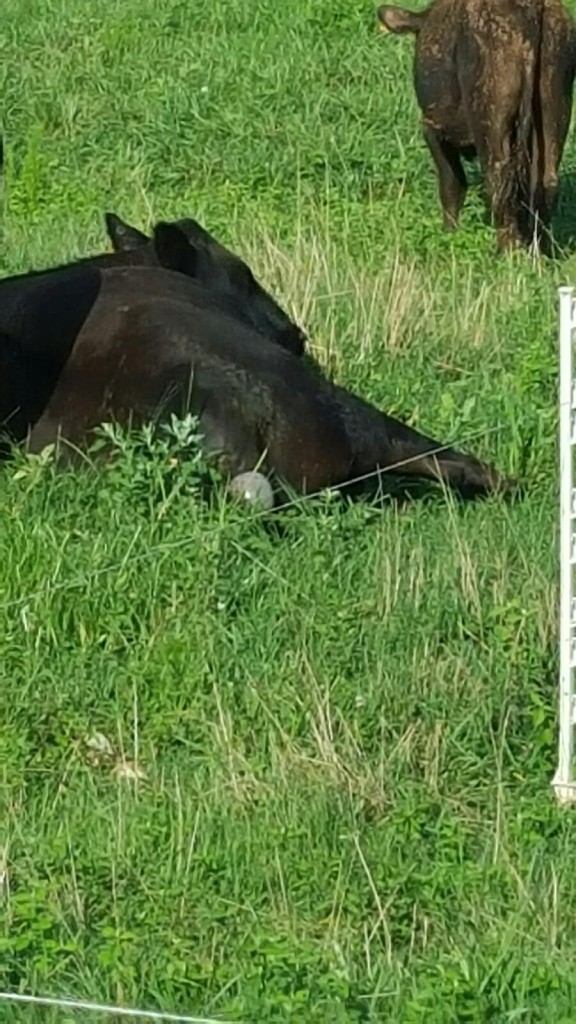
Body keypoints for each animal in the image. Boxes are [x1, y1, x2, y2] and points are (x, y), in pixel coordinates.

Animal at [377, 0, 573, 251]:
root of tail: (530, 10)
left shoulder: (433, 128)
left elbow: (452, 184)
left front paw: (449, 234)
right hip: (554, 108)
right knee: (545, 182)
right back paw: (539, 250)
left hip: (490, 119)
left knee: (499, 178)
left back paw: (506, 251)